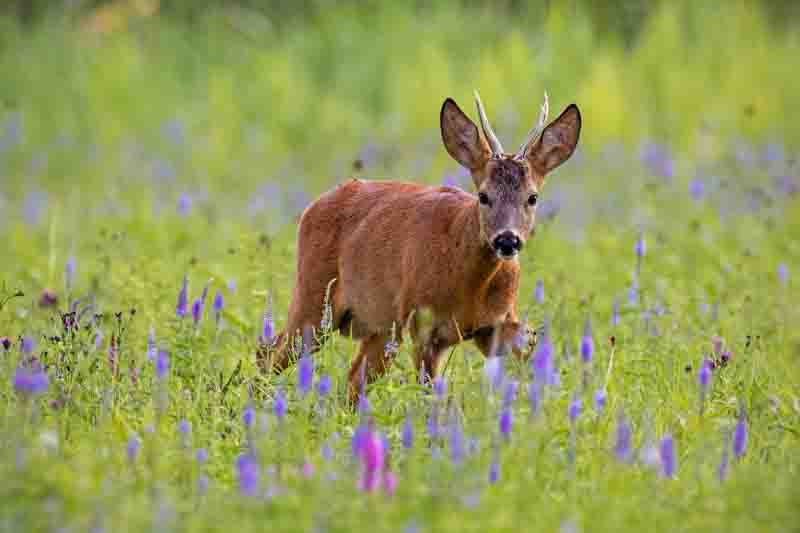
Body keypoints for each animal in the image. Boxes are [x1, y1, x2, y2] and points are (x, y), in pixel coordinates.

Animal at [258, 91, 581, 403]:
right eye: (483, 196)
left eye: (533, 197)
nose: (507, 240)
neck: (470, 287)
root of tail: (313, 206)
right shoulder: (423, 324)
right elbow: (428, 389)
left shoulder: (493, 326)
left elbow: (530, 341)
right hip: (314, 298)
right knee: (270, 351)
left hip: (380, 326)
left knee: (352, 378)